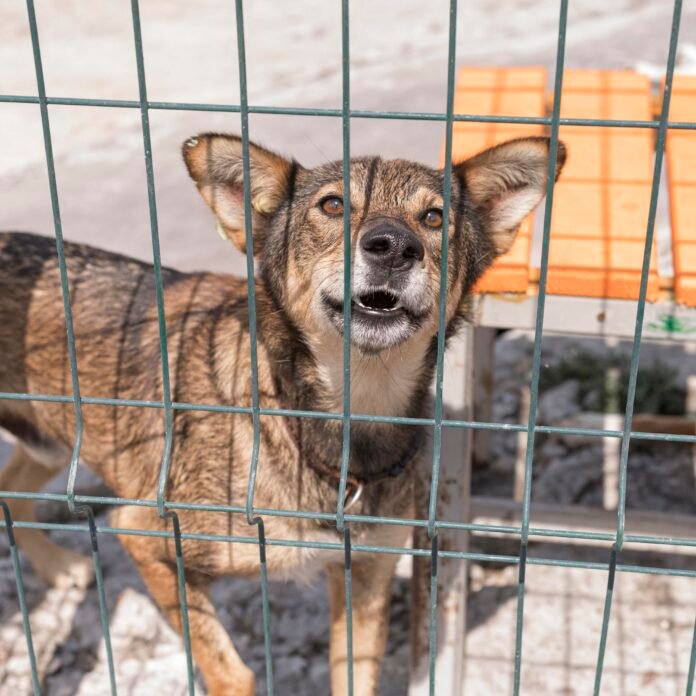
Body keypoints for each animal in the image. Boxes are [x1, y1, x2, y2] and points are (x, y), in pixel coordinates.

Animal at [0, 133, 564, 692]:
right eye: (333, 206)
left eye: (433, 217)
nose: (394, 247)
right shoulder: (146, 534)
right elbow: (232, 672)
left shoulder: (367, 575)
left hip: (54, 443)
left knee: (12, 490)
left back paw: (58, 567)